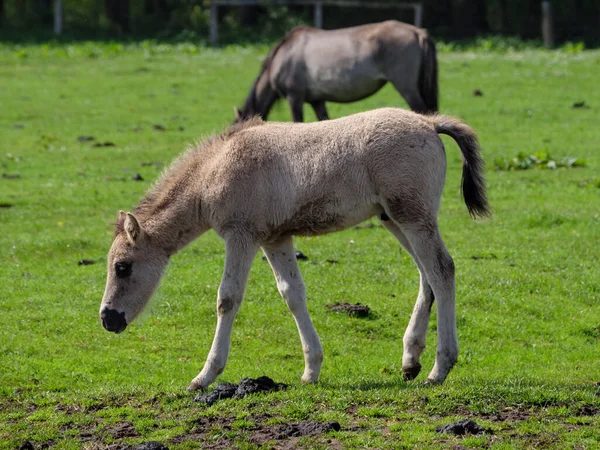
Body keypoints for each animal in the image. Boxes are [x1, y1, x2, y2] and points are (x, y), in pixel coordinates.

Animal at [98, 108, 490, 390]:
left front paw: (204, 376)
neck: (215, 170)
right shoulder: (275, 237)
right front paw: (311, 370)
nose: (107, 319)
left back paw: (439, 368)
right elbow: (292, 294)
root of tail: (429, 123)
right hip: (394, 219)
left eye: (122, 267)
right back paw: (410, 361)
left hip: (412, 216)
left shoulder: (242, 235)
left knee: (441, 270)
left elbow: (228, 298)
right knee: (427, 276)